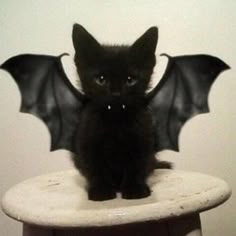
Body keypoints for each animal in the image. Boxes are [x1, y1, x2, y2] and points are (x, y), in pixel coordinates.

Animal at [71, 24, 160, 201]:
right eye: (101, 79)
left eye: (130, 80)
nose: (116, 94)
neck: (115, 121)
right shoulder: (87, 142)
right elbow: (95, 168)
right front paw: (101, 190)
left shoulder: (143, 140)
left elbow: (136, 166)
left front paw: (135, 189)